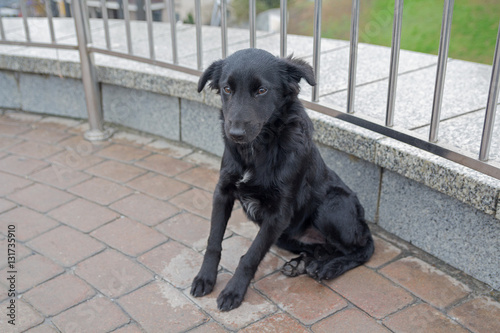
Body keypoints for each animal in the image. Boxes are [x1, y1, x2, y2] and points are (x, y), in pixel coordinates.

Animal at [191, 48, 376, 310]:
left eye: (261, 90)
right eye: (227, 89)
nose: (235, 134)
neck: (257, 150)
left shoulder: (279, 213)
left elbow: (251, 255)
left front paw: (233, 291)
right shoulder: (223, 192)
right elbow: (213, 241)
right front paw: (205, 277)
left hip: (331, 206)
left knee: (362, 249)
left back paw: (329, 267)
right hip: (285, 238)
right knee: (325, 249)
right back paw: (305, 263)